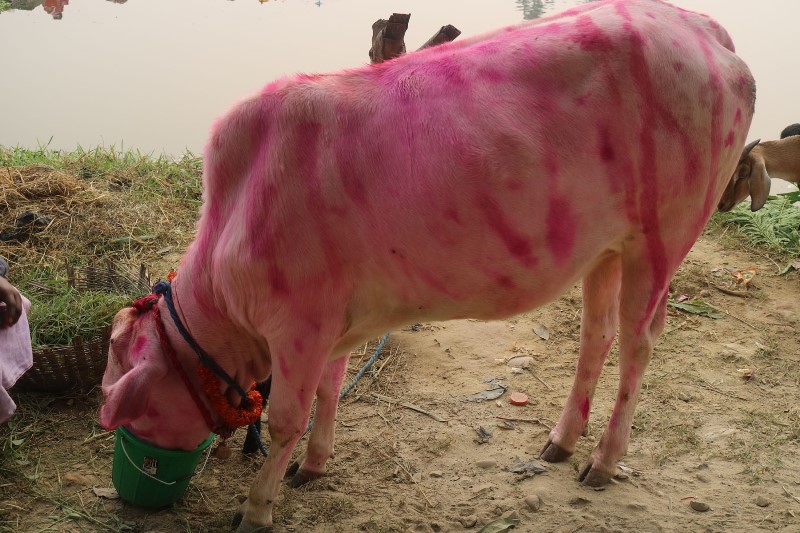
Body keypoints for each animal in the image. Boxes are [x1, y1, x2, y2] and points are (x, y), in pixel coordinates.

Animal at [97, 1, 752, 528]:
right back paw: (562, 441)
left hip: (665, 234)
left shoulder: (301, 324)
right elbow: (331, 389)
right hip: (607, 246)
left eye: (135, 404)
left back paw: (604, 460)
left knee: (640, 342)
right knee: (598, 333)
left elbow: (287, 418)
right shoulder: (334, 321)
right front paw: (314, 465)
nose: (132, 476)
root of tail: (702, 26)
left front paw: (258, 509)